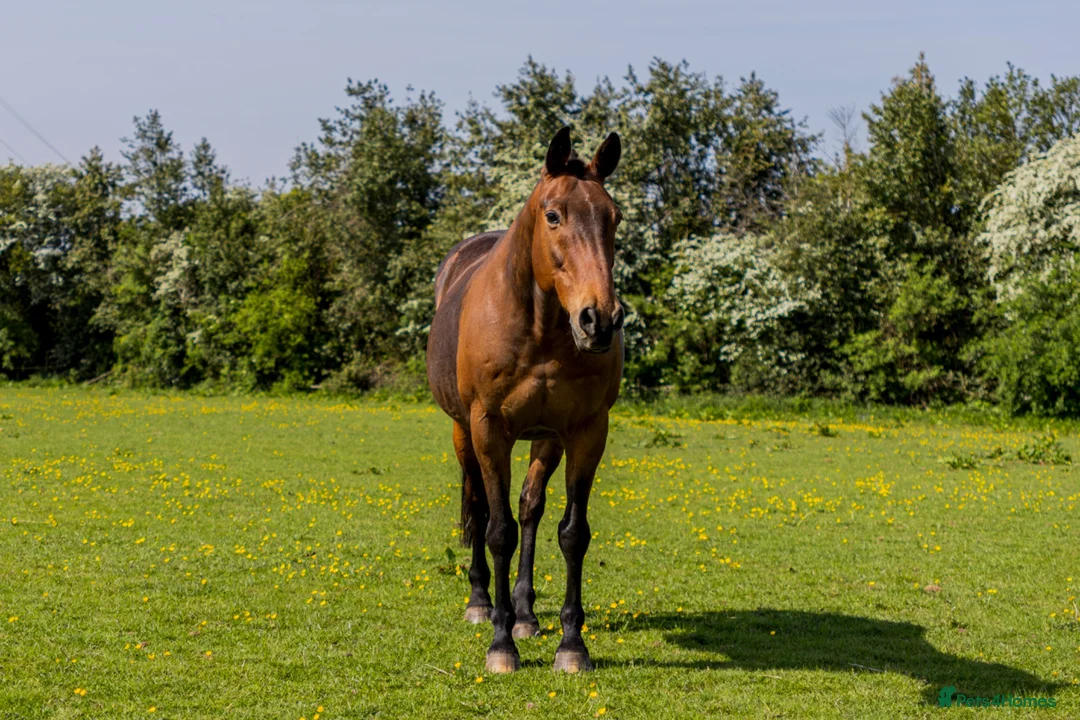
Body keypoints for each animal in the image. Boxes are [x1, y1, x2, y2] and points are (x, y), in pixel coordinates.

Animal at [426, 127, 624, 673]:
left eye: (614, 217)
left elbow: (572, 533)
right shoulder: (489, 429)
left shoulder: (585, 431)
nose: (599, 319)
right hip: (463, 432)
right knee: (478, 505)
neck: (540, 328)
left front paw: (571, 645)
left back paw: (525, 614)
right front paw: (500, 646)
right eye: (553, 215)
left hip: (544, 439)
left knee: (531, 507)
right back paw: (481, 604)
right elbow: (498, 531)